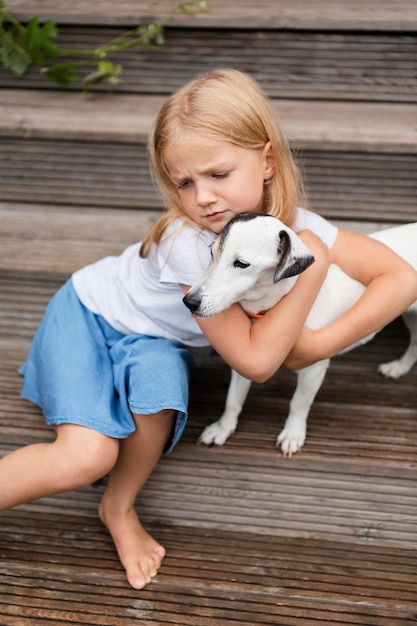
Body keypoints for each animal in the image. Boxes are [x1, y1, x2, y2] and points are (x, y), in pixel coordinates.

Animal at [183, 213, 416, 454]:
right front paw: (223, 427)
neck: (278, 300)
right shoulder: (245, 361)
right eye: (211, 252)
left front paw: (293, 433)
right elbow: (233, 399)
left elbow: (299, 402)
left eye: (242, 264)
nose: (189, 302)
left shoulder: (314, 369)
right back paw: (399, 367)